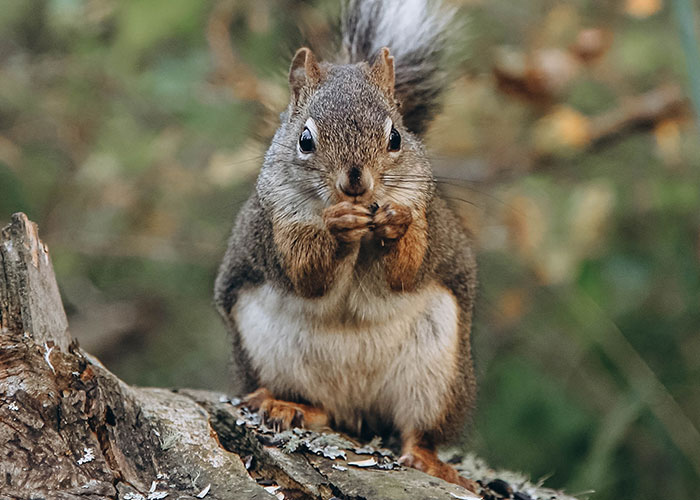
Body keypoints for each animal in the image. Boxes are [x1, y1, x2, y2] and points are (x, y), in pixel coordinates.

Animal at [214, 0, 478, 490]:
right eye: (305, 139)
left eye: (395, 137)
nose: (356, 182)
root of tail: (357, 407)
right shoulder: (277, 224)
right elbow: (305, 272)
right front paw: (337, 227)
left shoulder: (422, 211)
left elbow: (407, 269)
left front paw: (395, 222)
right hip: (268, 355)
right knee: (320, 408)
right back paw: (290, 406)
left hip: (438, 374)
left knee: (417, 430)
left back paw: (428, 460)